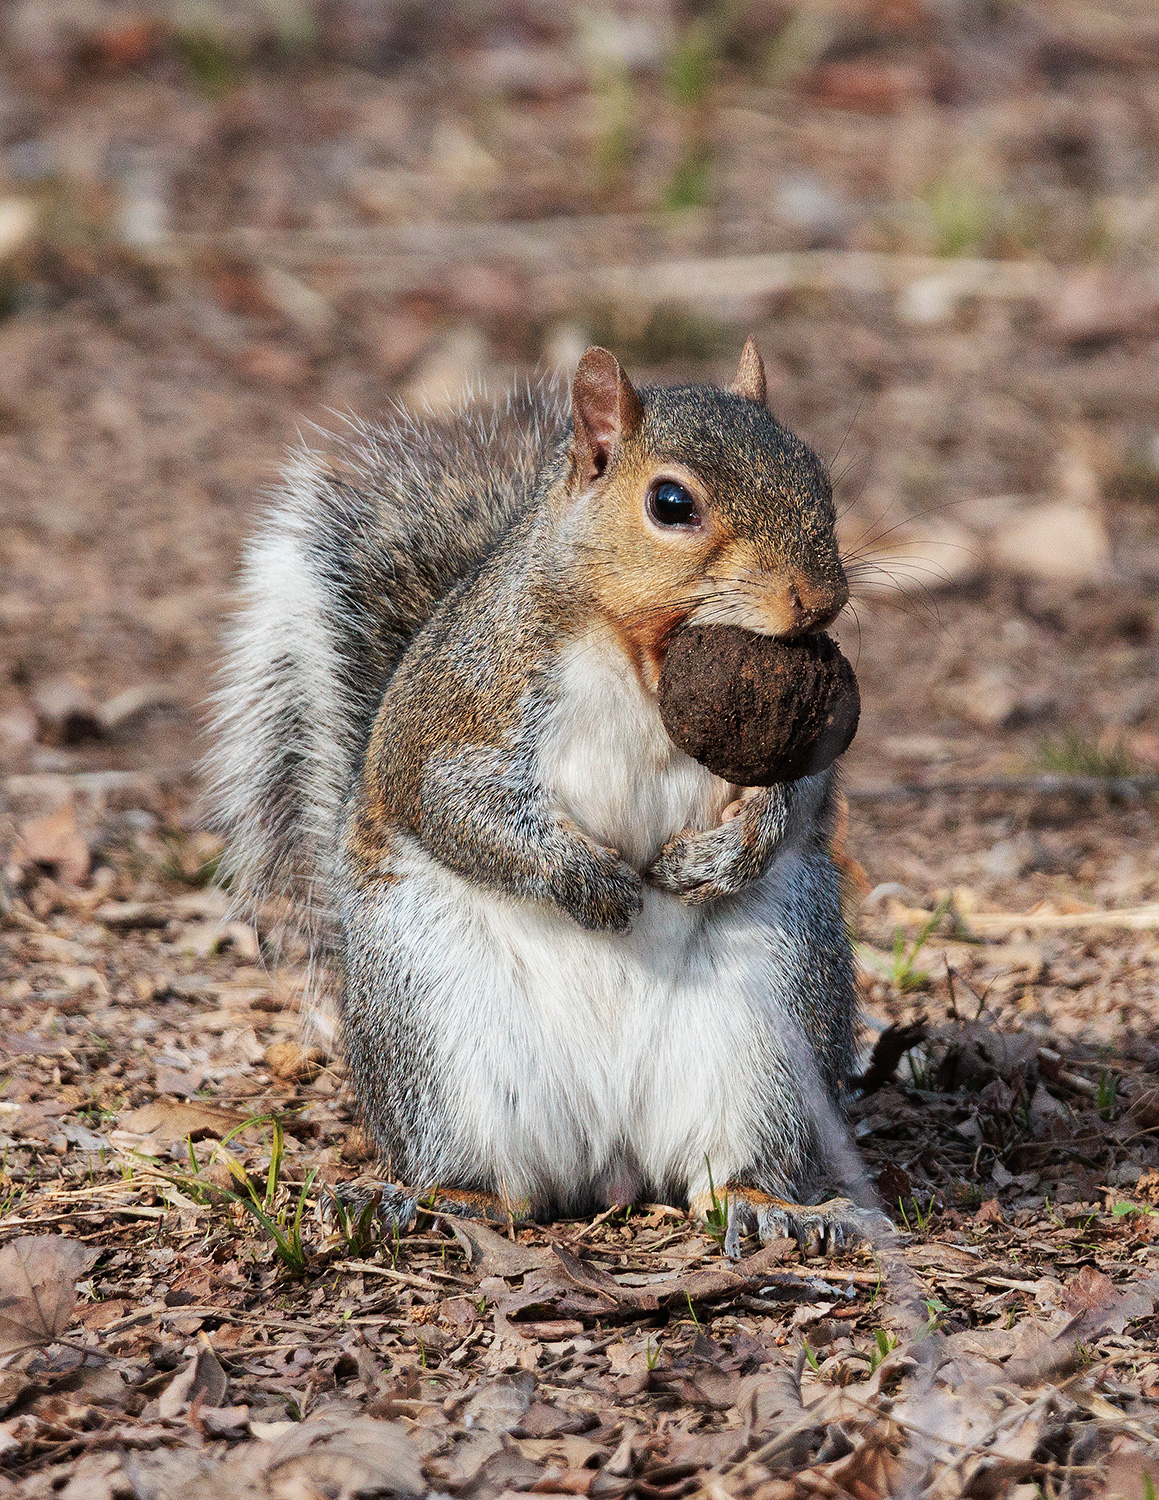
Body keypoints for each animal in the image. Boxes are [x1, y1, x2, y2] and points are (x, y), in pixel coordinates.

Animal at [208, 337, 881, 1254]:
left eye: (812, 469)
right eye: (671, 503)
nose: (819, 600)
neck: (640, 658)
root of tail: (612, 1161)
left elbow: (799, 798)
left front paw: (723, 854)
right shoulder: (462, 702)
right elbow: (447, 802)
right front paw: (585, 882)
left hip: (772, 1018)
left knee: (726, 1166)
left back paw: (768, 1206)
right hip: (437, 1023)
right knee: (497, 1182)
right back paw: (433, 1200)